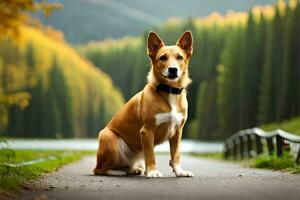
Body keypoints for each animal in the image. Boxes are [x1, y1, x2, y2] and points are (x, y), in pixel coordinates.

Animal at [92, 30, 193, 177]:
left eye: (179, 57)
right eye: (163, 58)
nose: (173, 69)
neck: (169, 91)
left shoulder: (177, 132)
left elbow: (176, 155)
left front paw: (179, 171)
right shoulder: (147, 131)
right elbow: (150, 155)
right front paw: (152, 172)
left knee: (124, 165)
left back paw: (133, 169)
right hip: (108, 137)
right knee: (100, 169)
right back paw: (116, 172)